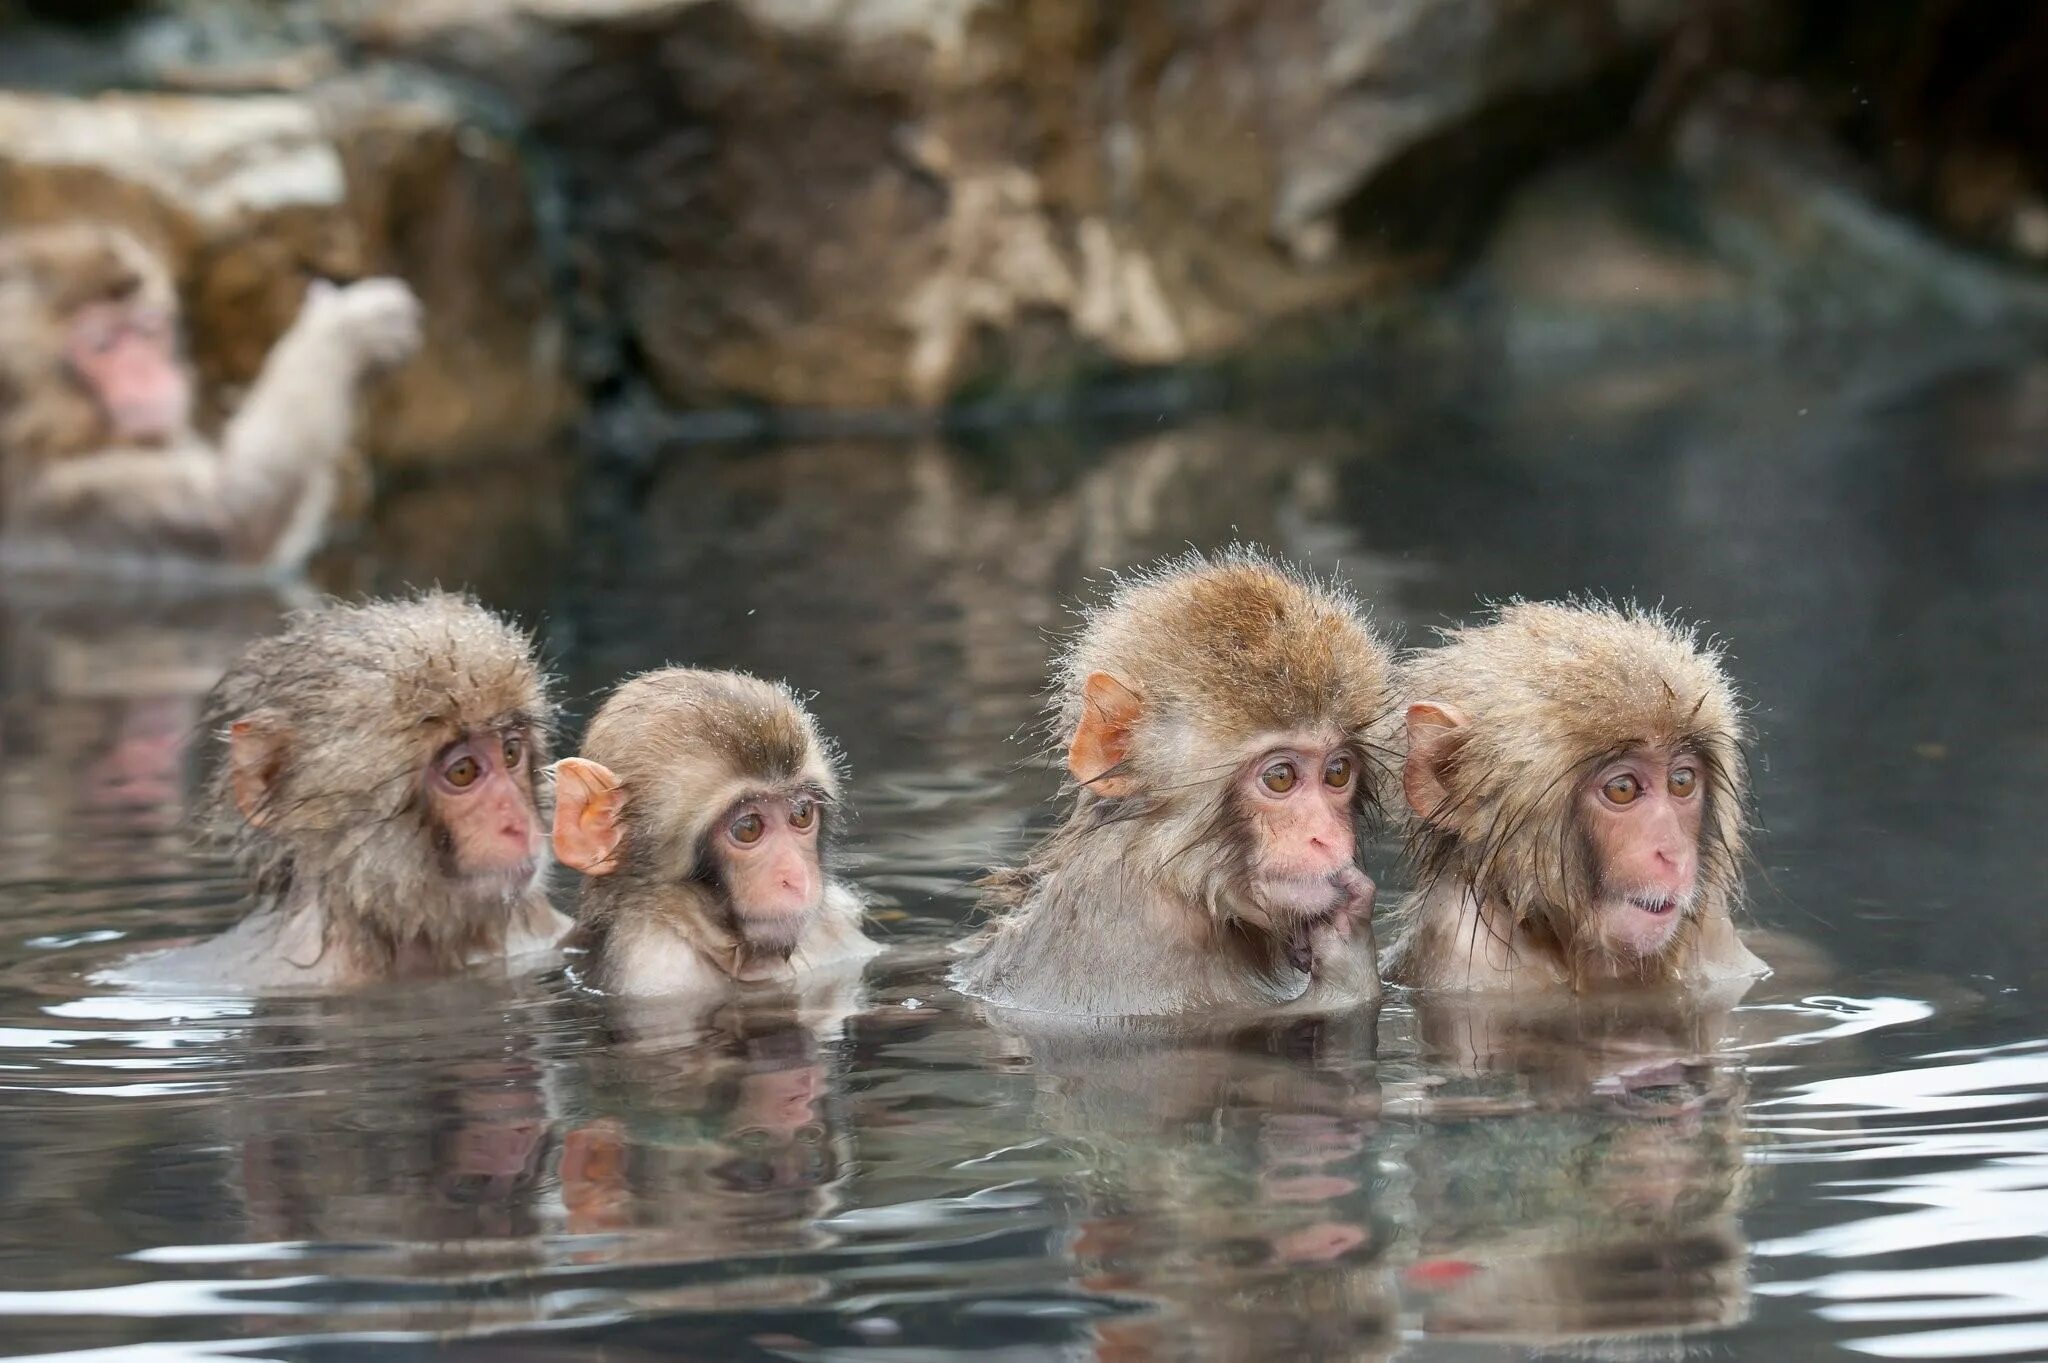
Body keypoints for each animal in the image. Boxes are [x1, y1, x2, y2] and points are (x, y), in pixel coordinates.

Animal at [0, 222, 421, 568]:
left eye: (148, 329)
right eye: (101, 345)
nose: (152, 376)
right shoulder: (83, 495)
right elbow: (237, 520)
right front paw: (346, 331)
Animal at [950, 548, 1384, 1015]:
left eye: (1337, 772)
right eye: (1281, 777)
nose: (1330, 838)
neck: (1167, 877)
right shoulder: (1142, 953)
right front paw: (1346, 939)